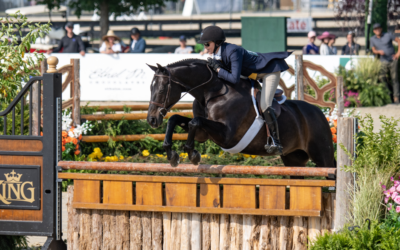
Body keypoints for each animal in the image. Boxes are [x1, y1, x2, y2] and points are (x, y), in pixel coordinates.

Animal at [146, 58, 334, 172]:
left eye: (161, 90)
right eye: (150, 88)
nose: (152, 120)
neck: (212, 93)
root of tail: (320, 112)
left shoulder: (227, 136)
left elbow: (195, 122)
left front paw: (191, 153)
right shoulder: (203, 134)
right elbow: (176, 119)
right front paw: (171, 154)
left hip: (322, 155)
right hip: (294, 159)